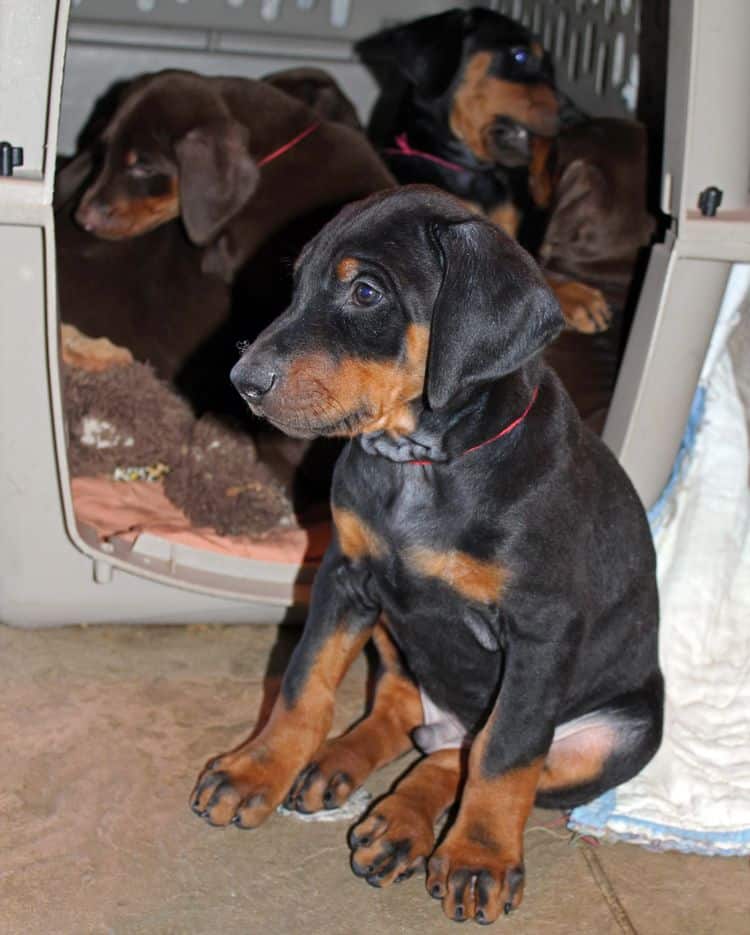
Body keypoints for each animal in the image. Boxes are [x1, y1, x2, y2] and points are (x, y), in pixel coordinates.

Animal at [192, 186, 664, 924]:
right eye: (296, 285)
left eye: (365, 291)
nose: (243, 380)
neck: (420, 464)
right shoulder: (344, 576)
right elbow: (303, 684)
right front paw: (255, 768)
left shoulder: (541, 631)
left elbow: (505, 753)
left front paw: (479, 857)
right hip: (392, 628)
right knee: (401, 708)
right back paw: (336, 765)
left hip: (623, 733)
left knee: (468, 755)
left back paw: (402, 822)